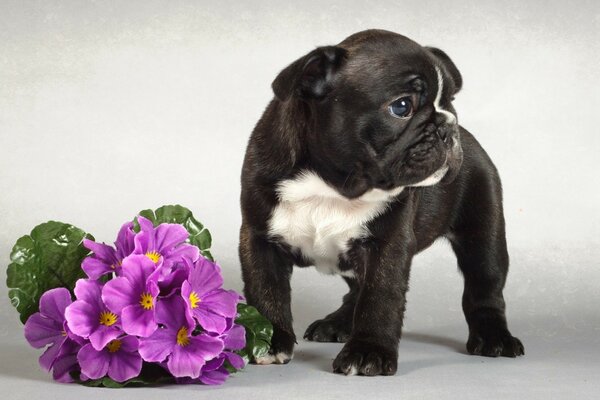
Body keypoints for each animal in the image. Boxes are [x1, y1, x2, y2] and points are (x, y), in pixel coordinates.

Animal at [237, 28, 524, 376]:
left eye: (449, 102)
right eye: (401, 107)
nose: (448, 124)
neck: (334, 187)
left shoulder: (387, 246)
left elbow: (380, 297)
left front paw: (368, 351)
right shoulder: (259, 238)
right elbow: (266, 292)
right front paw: (268, 340)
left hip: (483, 233)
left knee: (485, 287)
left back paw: (494, 337)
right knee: (355, 290)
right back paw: (337, 323)